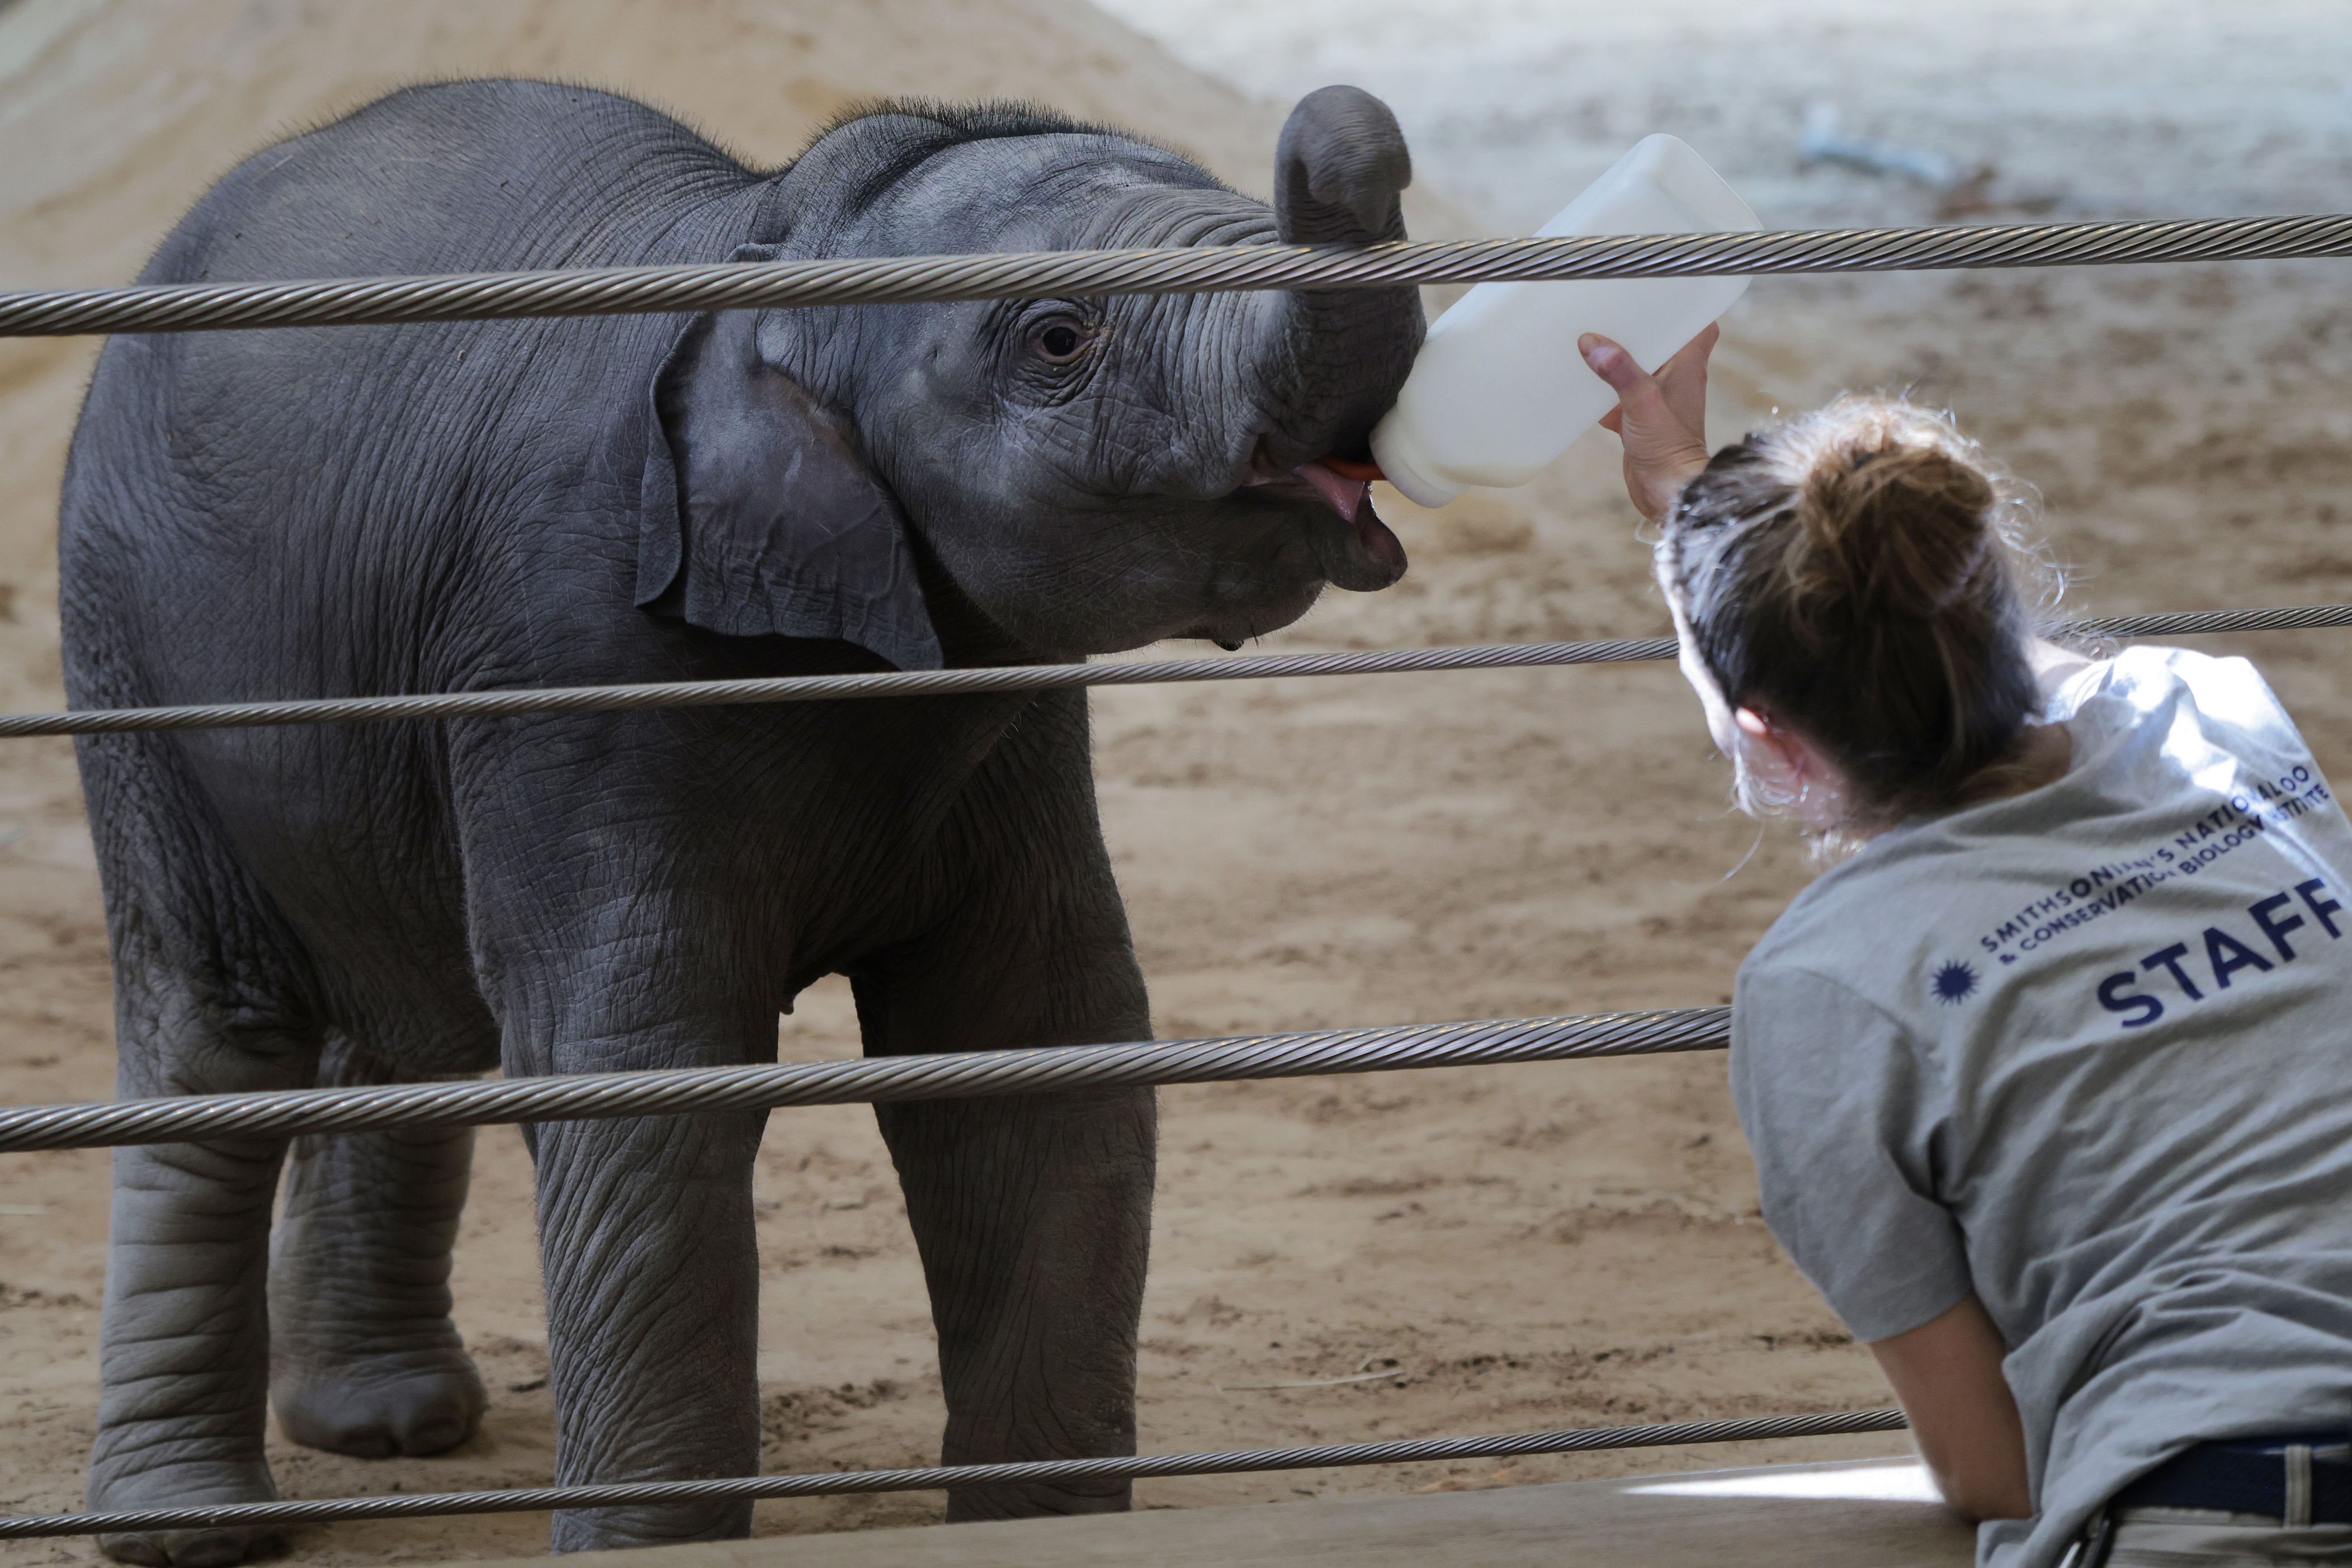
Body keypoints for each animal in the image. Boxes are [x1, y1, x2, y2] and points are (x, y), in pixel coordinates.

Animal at [57, 77, 1422, 1566]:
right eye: (1058, 336)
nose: (1349, 113)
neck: (777, 245)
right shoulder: (573, 647)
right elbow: (649, 1066)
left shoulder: (1013, 716)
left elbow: (1035, 1040)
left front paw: (1041, 1530)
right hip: (123, 632)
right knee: (220, 1017)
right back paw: (190, 1524)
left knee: (406, 1002)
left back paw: (385, 1420)